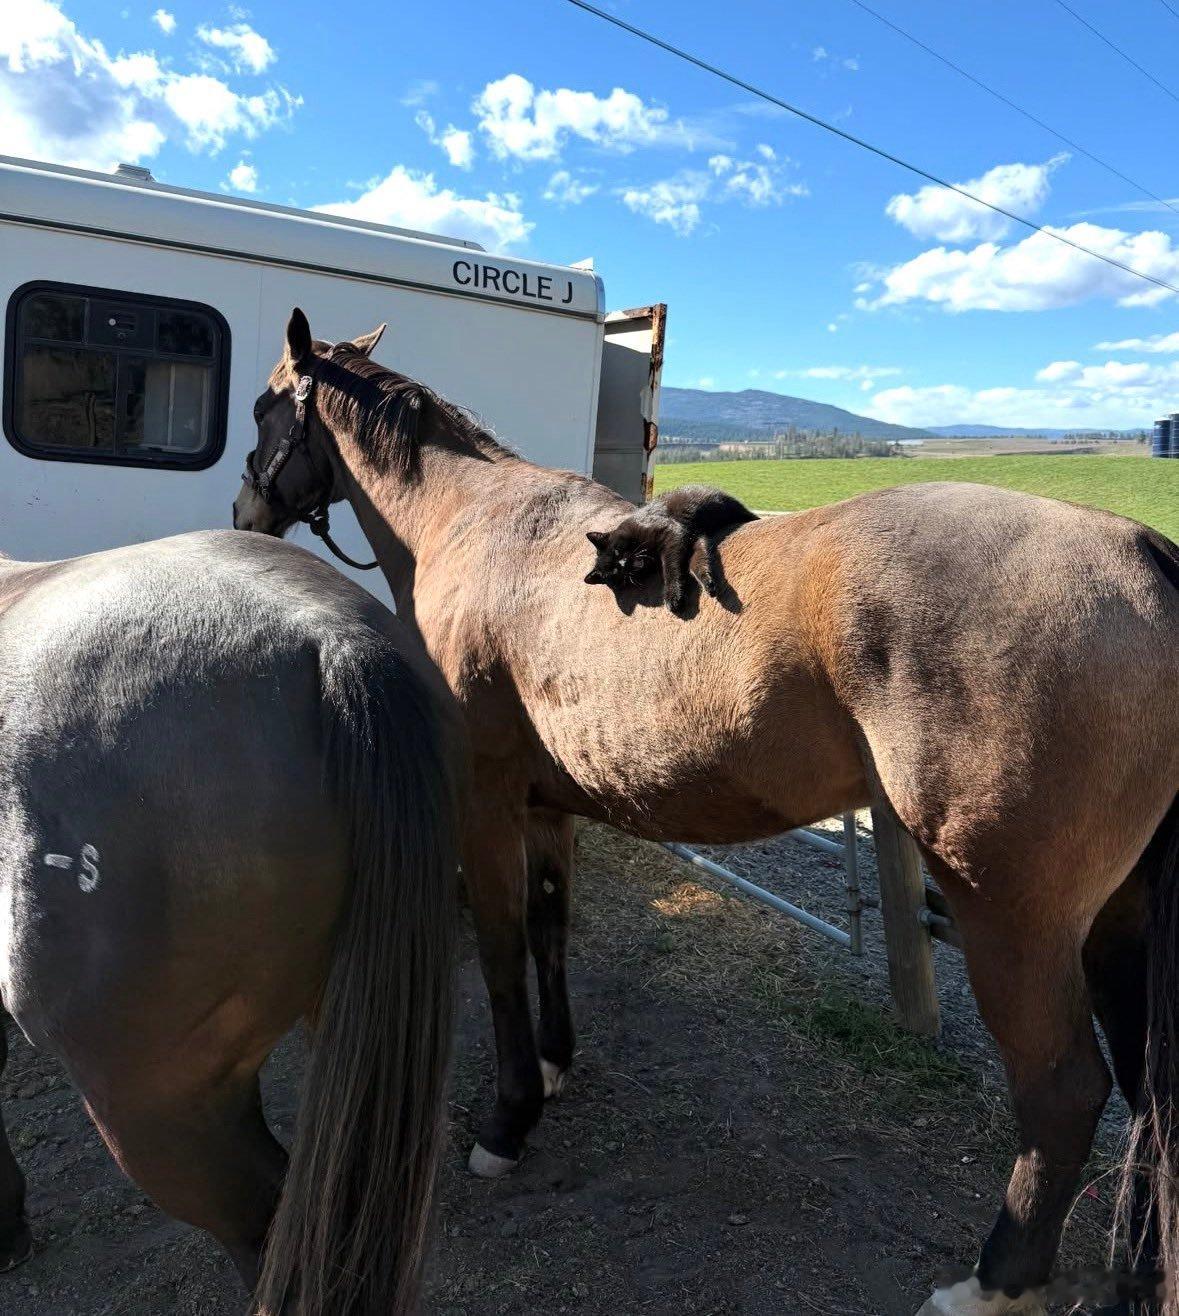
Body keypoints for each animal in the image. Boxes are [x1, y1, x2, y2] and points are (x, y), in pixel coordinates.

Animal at [233, 308, 1179, 1316]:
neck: (478, 528)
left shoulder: (483, 804)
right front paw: (556, 1064)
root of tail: (1139, 553)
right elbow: (548, 929)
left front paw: (509, 1116)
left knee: (1063, 1092)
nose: (245, 512)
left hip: (1013, 918)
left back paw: (991, 1284)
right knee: (1145, 1094)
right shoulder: (543, 808)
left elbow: (496, 951)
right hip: (1117, 922)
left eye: (261, 408)